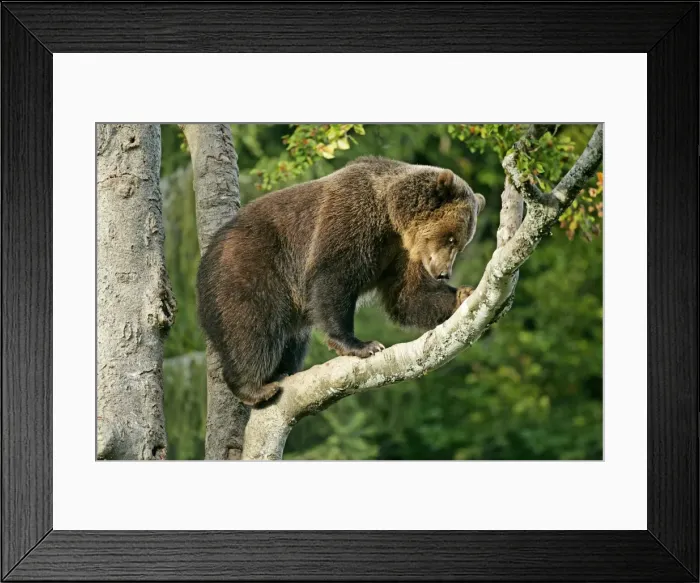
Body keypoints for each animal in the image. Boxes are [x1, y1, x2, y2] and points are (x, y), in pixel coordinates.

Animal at [196, 156, 486, 406]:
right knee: (250, 327)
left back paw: (281, 372)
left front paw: (462, 295)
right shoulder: (351, 219)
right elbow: (333, 278)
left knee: (292, 341)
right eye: (450, 238)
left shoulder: (400, 253)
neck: (392, 219)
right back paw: (255, 387)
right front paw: (361, 345)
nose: (443, 272)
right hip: (250, 267)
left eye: (460, 244)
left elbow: (409, 296)